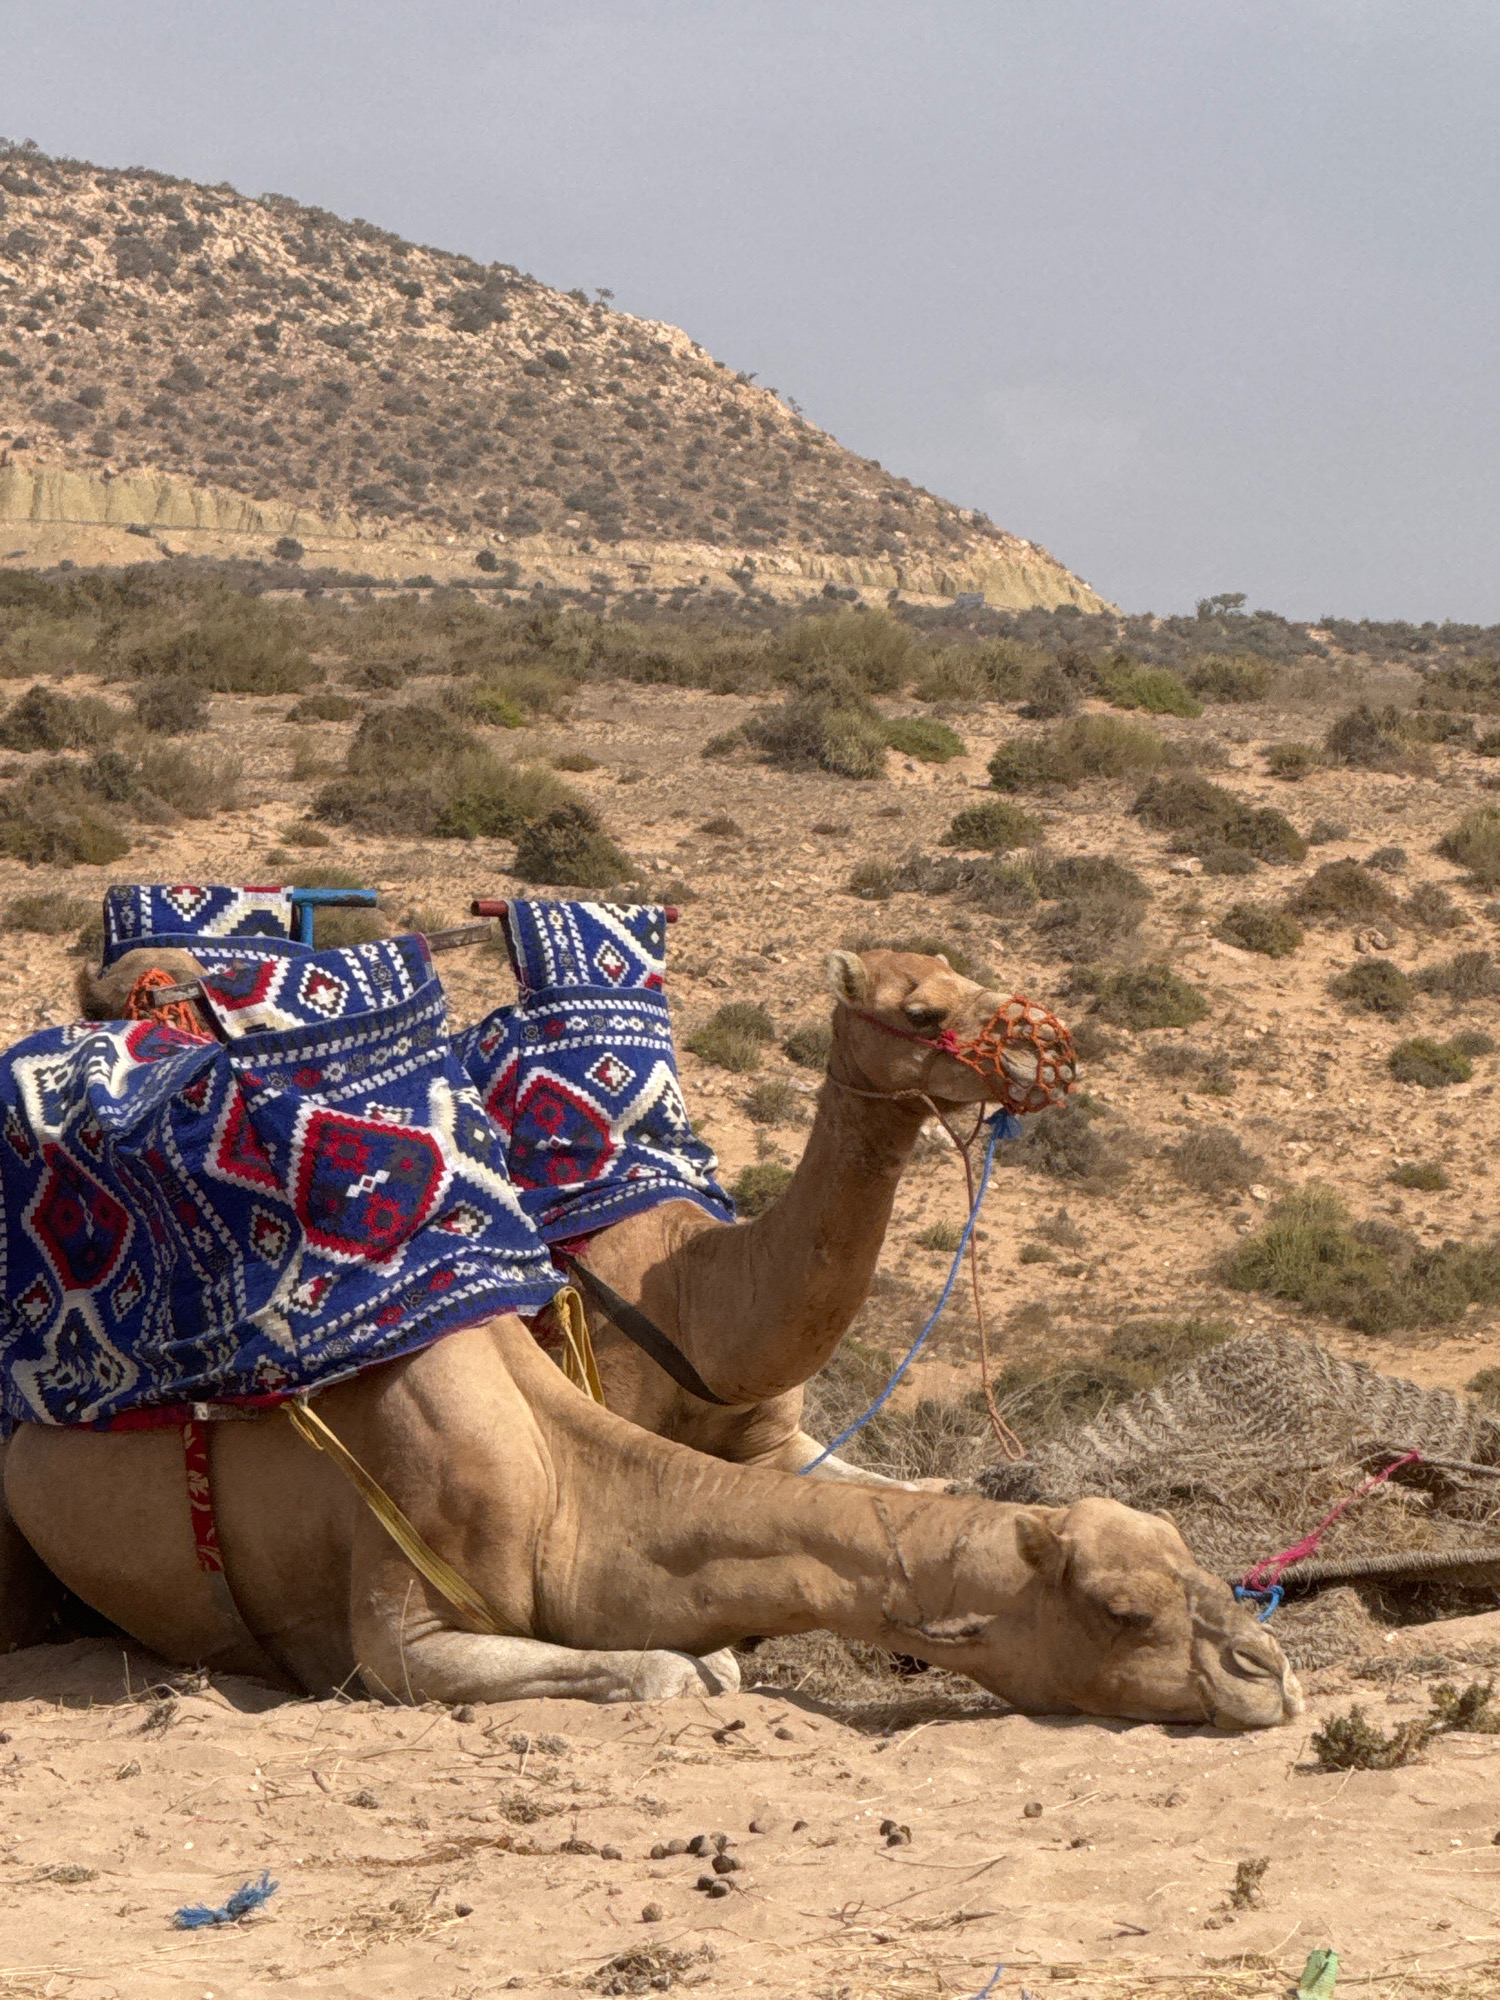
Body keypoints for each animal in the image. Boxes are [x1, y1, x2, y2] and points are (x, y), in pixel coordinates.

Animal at [3, 1309, 1303, 1723]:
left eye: (1191, 1552)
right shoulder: (398, 1641)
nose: (1271, 1669)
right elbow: (675, 1672)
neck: (565, 1483)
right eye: (1121, 1609)